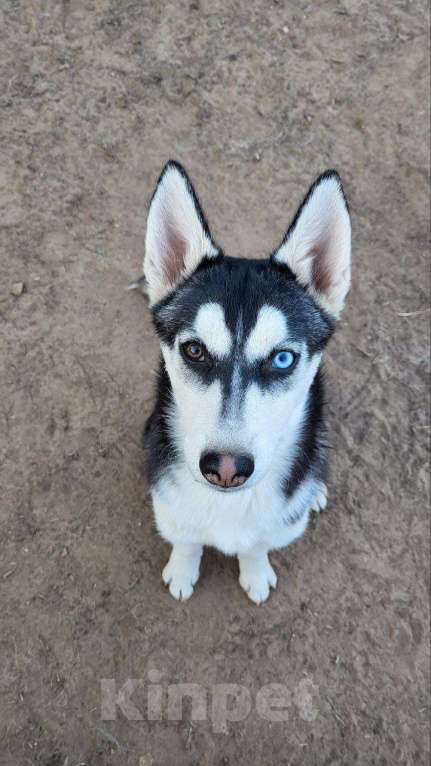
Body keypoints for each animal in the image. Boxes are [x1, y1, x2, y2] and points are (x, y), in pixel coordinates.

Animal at [138, 162, 352, 608]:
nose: (226, 468)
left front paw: (255, 572)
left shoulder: (278, 524)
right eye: (195, 350)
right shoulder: (169, 504)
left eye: (282, 358)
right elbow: (186, 538)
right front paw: (182, 569)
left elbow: (257, 545)